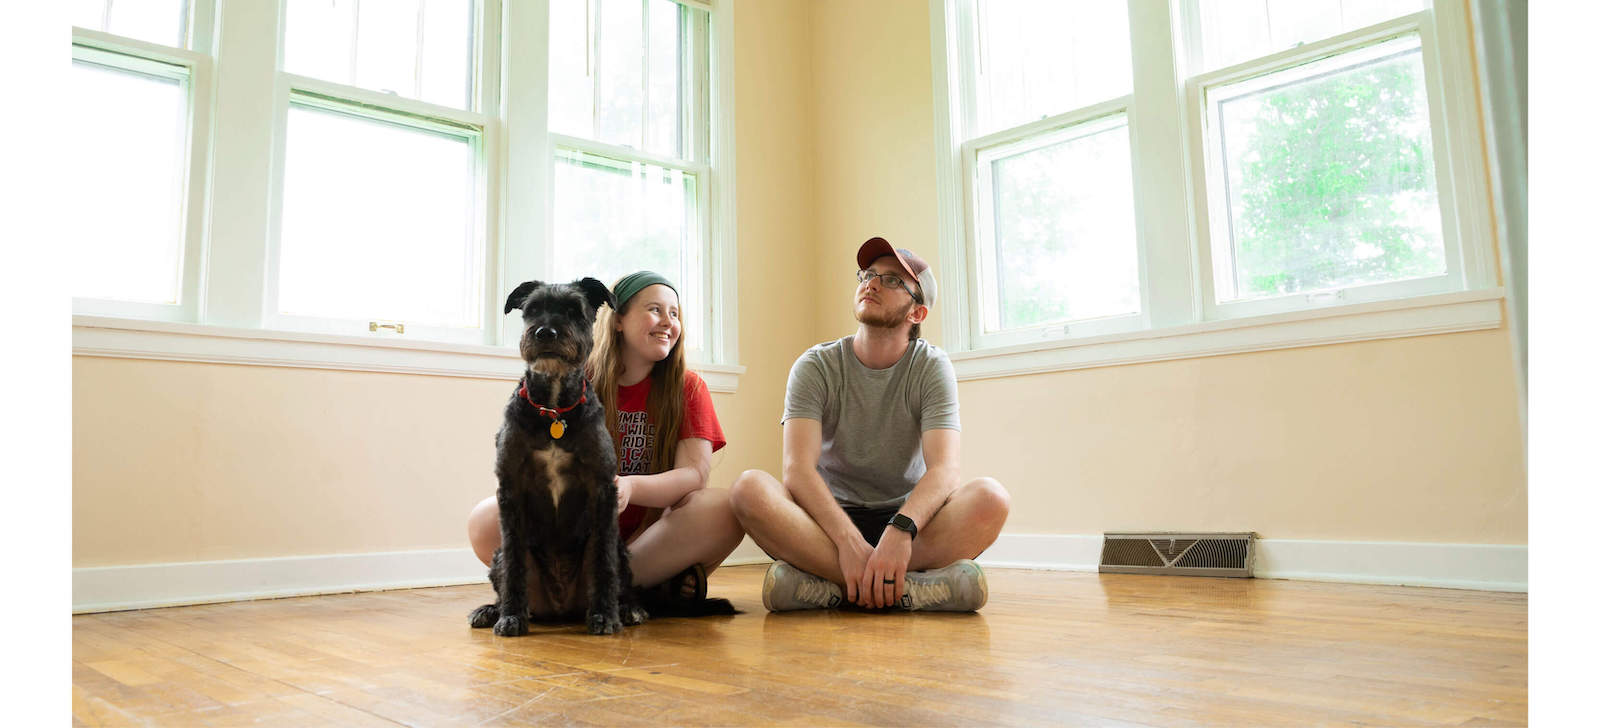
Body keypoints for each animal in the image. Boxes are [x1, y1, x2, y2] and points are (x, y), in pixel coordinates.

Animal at [467, 280, 649, 640]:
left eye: (573, 310)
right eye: (533, 309)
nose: (545, 332)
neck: (553, 410)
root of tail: (561, 607)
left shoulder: (603, 489)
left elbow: (603, 563)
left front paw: (606, 615)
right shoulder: (510, 490)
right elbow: (515, 563)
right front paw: (510, 616)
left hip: (620, 551)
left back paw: (628, 608)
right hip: (498, 556)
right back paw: (492, 609)